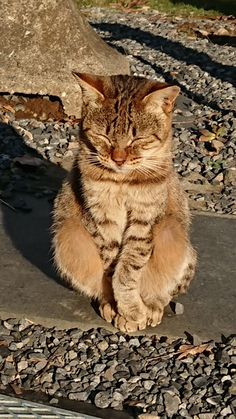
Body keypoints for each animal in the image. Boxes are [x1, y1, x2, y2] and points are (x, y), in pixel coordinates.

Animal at [52, 73, 197, 334]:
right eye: (103, 136)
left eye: (138, 138)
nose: (118, 159)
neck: (122, 181)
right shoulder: (100, 217)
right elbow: (111, 267)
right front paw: (117, 305)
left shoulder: (144, 220)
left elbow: (128, 268)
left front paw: (133, 310)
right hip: (68, 235)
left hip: (174, 234)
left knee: (166, 289)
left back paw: (152, 304)